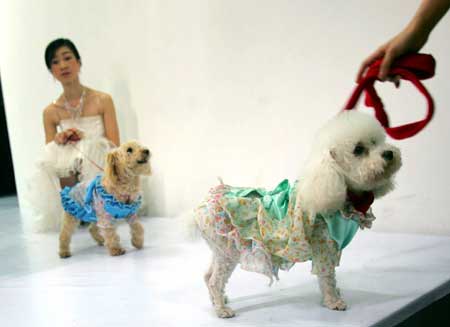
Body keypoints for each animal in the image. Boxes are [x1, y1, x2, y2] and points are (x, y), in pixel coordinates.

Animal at [192, 111, 400, 318]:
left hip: (220, 250)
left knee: (208, 276)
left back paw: (218, 301)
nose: (389, 153)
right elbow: (327, 276)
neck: (332, 182)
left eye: (376, 142)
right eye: (358, 149)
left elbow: (330, 278)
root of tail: (203, 203)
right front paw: (333, 301)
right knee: (214, 281)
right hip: (228, 251)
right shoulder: (324, 246)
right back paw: (222, 309)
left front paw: (335, 294)